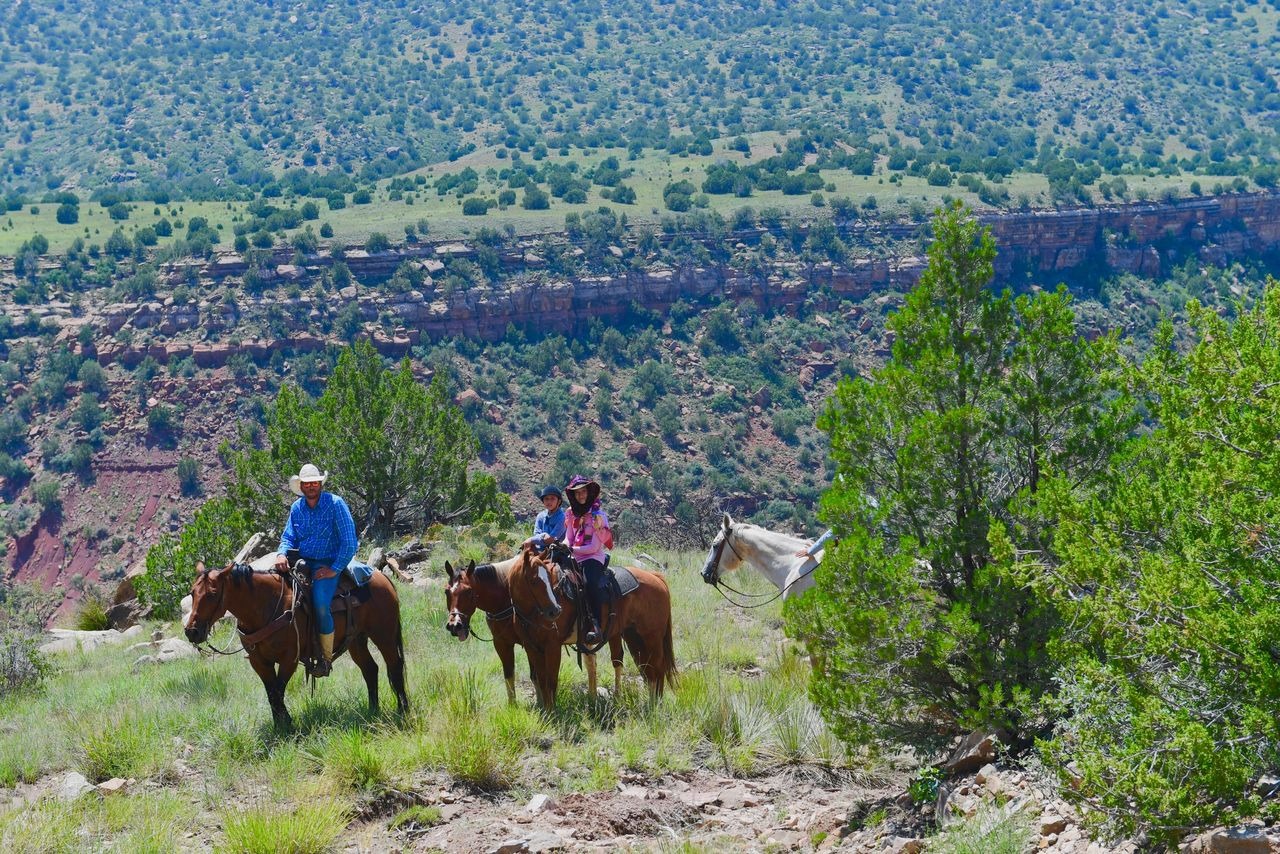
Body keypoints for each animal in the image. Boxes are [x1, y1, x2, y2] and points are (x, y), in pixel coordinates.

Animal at [183, 560, 404, 727]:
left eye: (212, 594)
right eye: (193, 593)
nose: (192, 632)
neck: (266, 606)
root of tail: (381, 577)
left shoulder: (289, 659)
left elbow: (278, 692)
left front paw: (287, 726)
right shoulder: (258, 661)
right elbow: (271, 693)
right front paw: (279, 727)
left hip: (384, 635)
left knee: (394, 667)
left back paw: (402, 710)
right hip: (356, 640)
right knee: (370, 669)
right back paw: (372, 711)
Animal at [442, 558, 616, 706]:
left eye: (469, 592)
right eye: (446, 592)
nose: (455, 625)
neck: (508, 599)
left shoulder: (539, 644)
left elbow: (539, 676)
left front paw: (544, 705)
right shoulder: (504, 643)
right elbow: (513, 674)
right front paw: (516, 706)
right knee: (591, 663)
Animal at [504, 545, 675, 711]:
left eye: (546, 578)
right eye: (533, 581)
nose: (555, 611)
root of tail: (655, 577)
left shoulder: (553, 647)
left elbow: (551, 681)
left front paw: (552, 712)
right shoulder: (532, 647)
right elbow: (541, 679)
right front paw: (546, 712)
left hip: (652, 637)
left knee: (657, 667)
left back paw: (656, 705)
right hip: (634, 637)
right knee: (646, 668)